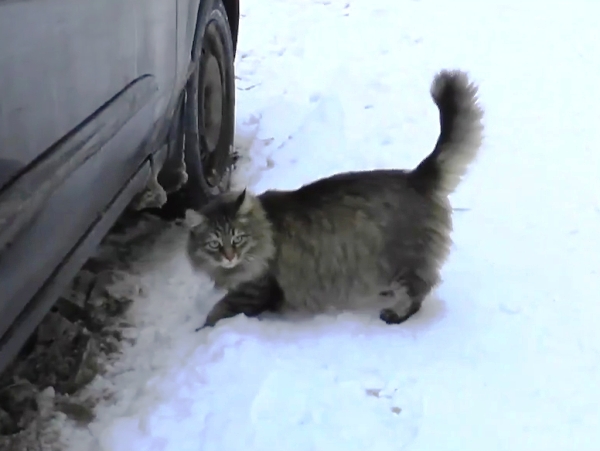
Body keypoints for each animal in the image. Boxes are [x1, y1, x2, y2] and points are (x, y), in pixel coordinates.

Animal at [185, 71, 486, 332]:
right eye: (214, 243)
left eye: (237, 238)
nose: (229, 256)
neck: (265, 231)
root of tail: (415, 176)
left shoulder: (255, 290)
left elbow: (218, 311)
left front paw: (201, 330)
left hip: (405, 259)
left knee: (419, 288)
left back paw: (395, 313)